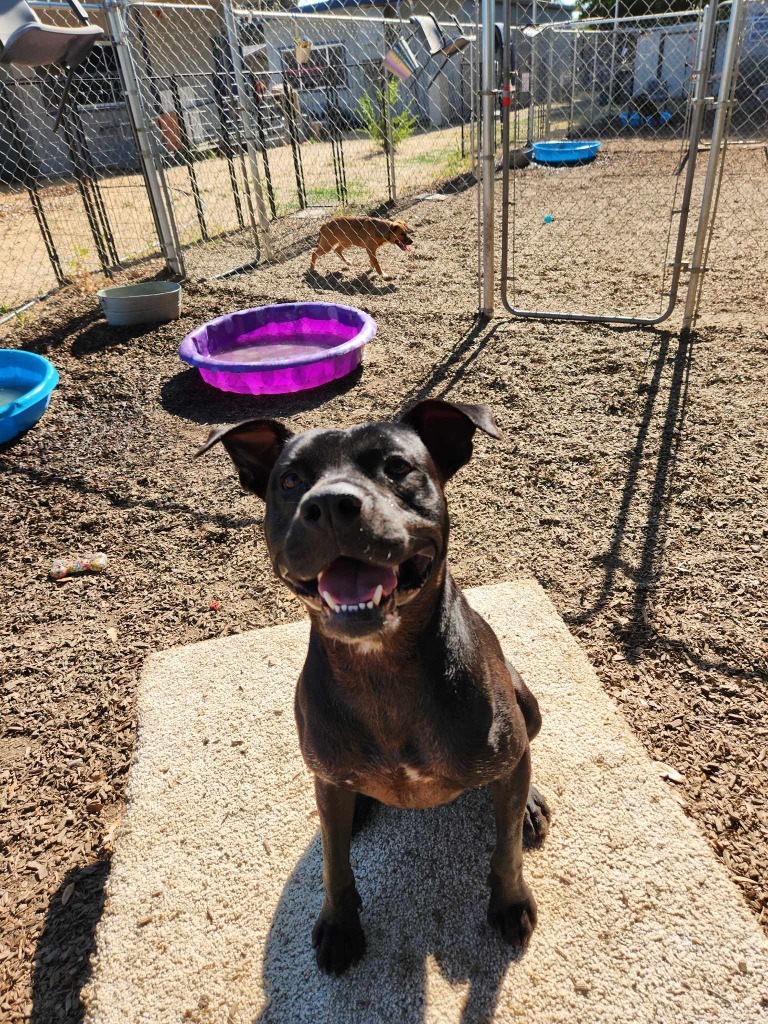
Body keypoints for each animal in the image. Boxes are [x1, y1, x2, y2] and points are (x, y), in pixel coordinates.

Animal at [198, 399, 548, 974]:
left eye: (397, 467)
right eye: (290, 479)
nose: (330, 505)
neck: (380, 668)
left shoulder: (505, 753)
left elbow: (506, 850)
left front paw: (510, 901)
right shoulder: (326, 778)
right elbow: (334, 863)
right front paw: (340, 924)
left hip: (527, 703)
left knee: (522, 766)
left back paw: (532, 803)